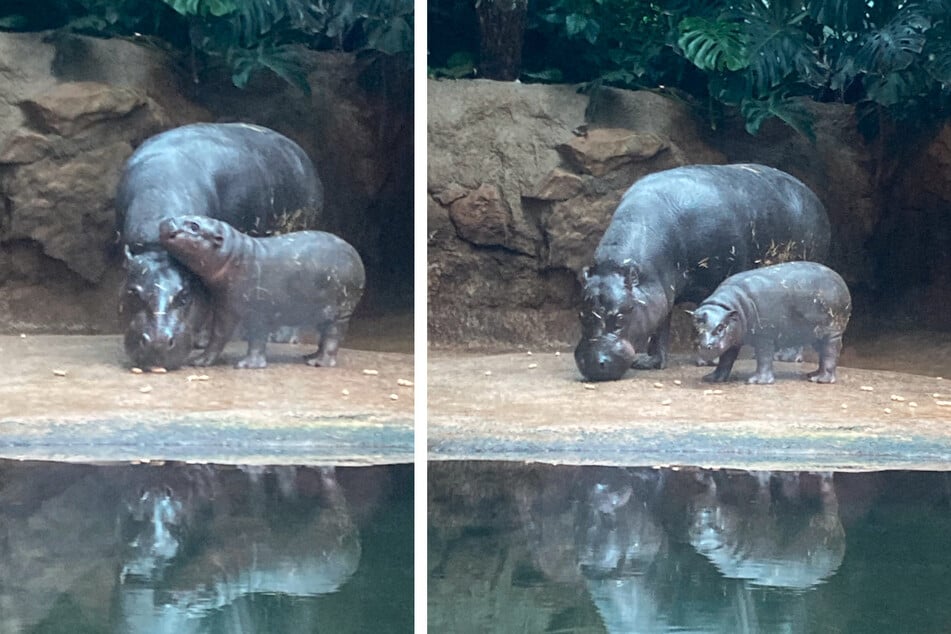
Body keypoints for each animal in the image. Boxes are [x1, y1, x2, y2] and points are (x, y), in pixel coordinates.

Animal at [114, 121, 324, 368]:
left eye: (185, 294)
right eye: (133, 291)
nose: (158, 344)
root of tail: (302, 155)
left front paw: (204, 340)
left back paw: (282, 336)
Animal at [156, 215, 364, 368]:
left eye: (194, 226)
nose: (166, 221)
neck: (234, 256)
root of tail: (357, 256)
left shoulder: (259, 312)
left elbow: (256, 339)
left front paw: (247, 365)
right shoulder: (225, 308)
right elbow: (218, 336)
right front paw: (199, 361)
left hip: (340, 312)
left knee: (332, 337)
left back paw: (319, 363)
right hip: (323, 313)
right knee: (323, 337)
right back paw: (309, 356)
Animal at [576, 163, 828, 380]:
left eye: (621, 316)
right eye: (582, 314)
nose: (593, 363)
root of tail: (812, 195)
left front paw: (708, 360)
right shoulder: (662, 291)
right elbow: (660, 327)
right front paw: (649, 362)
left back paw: (786, 356)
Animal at [688, 260, 852, 382]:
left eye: (721, 327)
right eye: (695, 327)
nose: (704, 346)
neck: (728, 306)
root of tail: (840, 279)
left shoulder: (764, 335)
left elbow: (764, 357)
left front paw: (757, 381)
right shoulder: (733, 339)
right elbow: (726, 359)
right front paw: (712, 378)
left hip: (832, 332)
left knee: (830, 353)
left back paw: (821, 379)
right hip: (816, 334)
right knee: (822, 353)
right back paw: (811, 375)